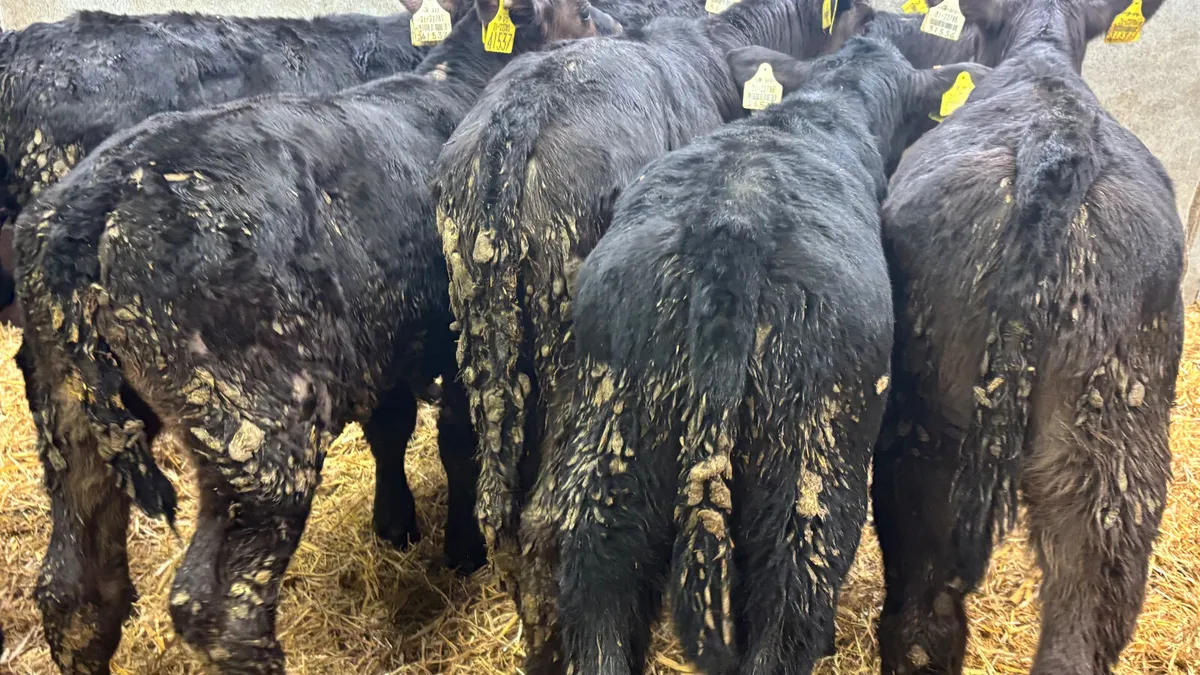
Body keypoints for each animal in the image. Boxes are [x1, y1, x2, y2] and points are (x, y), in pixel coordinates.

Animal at [12, 1, 618, 672]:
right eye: (577, 12)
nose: (619, 30)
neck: (456, 83)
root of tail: (90, 208)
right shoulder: (458, 340)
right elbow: (458, 443)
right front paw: (462, 549)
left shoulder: (390, 342)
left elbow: (391, 429)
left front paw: (396, 525)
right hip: (256, 434)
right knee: (221, 610)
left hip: (67, 413)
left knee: (73, 590)